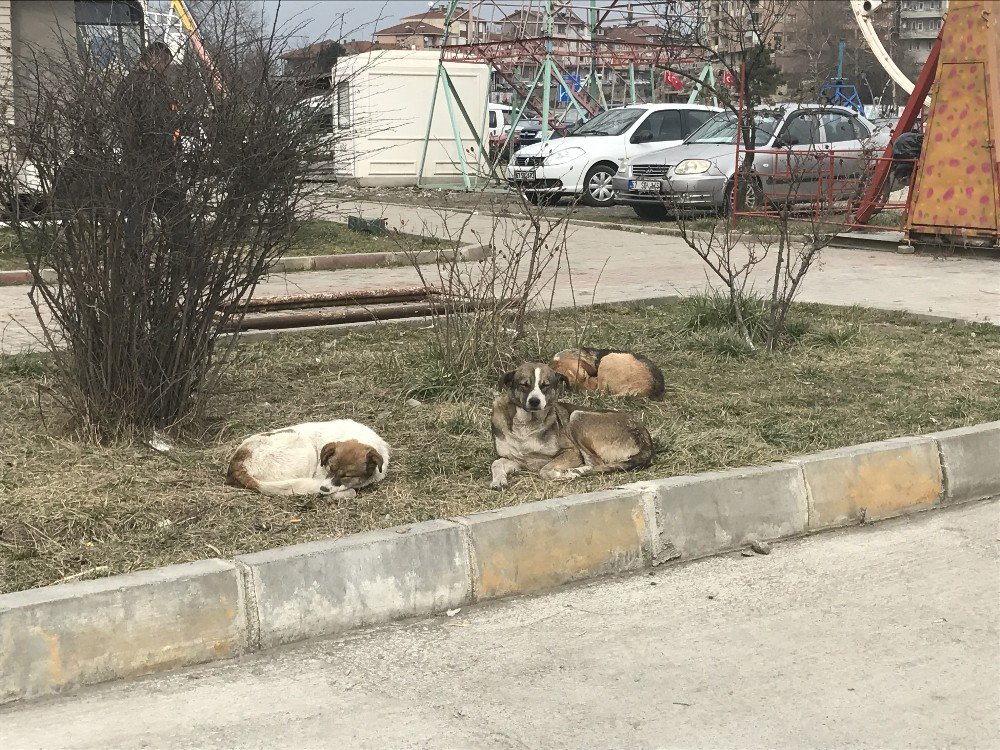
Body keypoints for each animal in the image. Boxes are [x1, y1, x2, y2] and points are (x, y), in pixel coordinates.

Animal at [488, 362, 652, 490]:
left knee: (595, 463)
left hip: (577, 416)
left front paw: (566, 474)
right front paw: (498, 480)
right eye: (524, 385)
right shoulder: (516, 460)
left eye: (545, 386)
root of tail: (645, 437)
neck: (526, 426)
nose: (534, 401)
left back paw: (577, 471)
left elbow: (545, 470)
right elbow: (496, 463)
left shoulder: (571, 451)